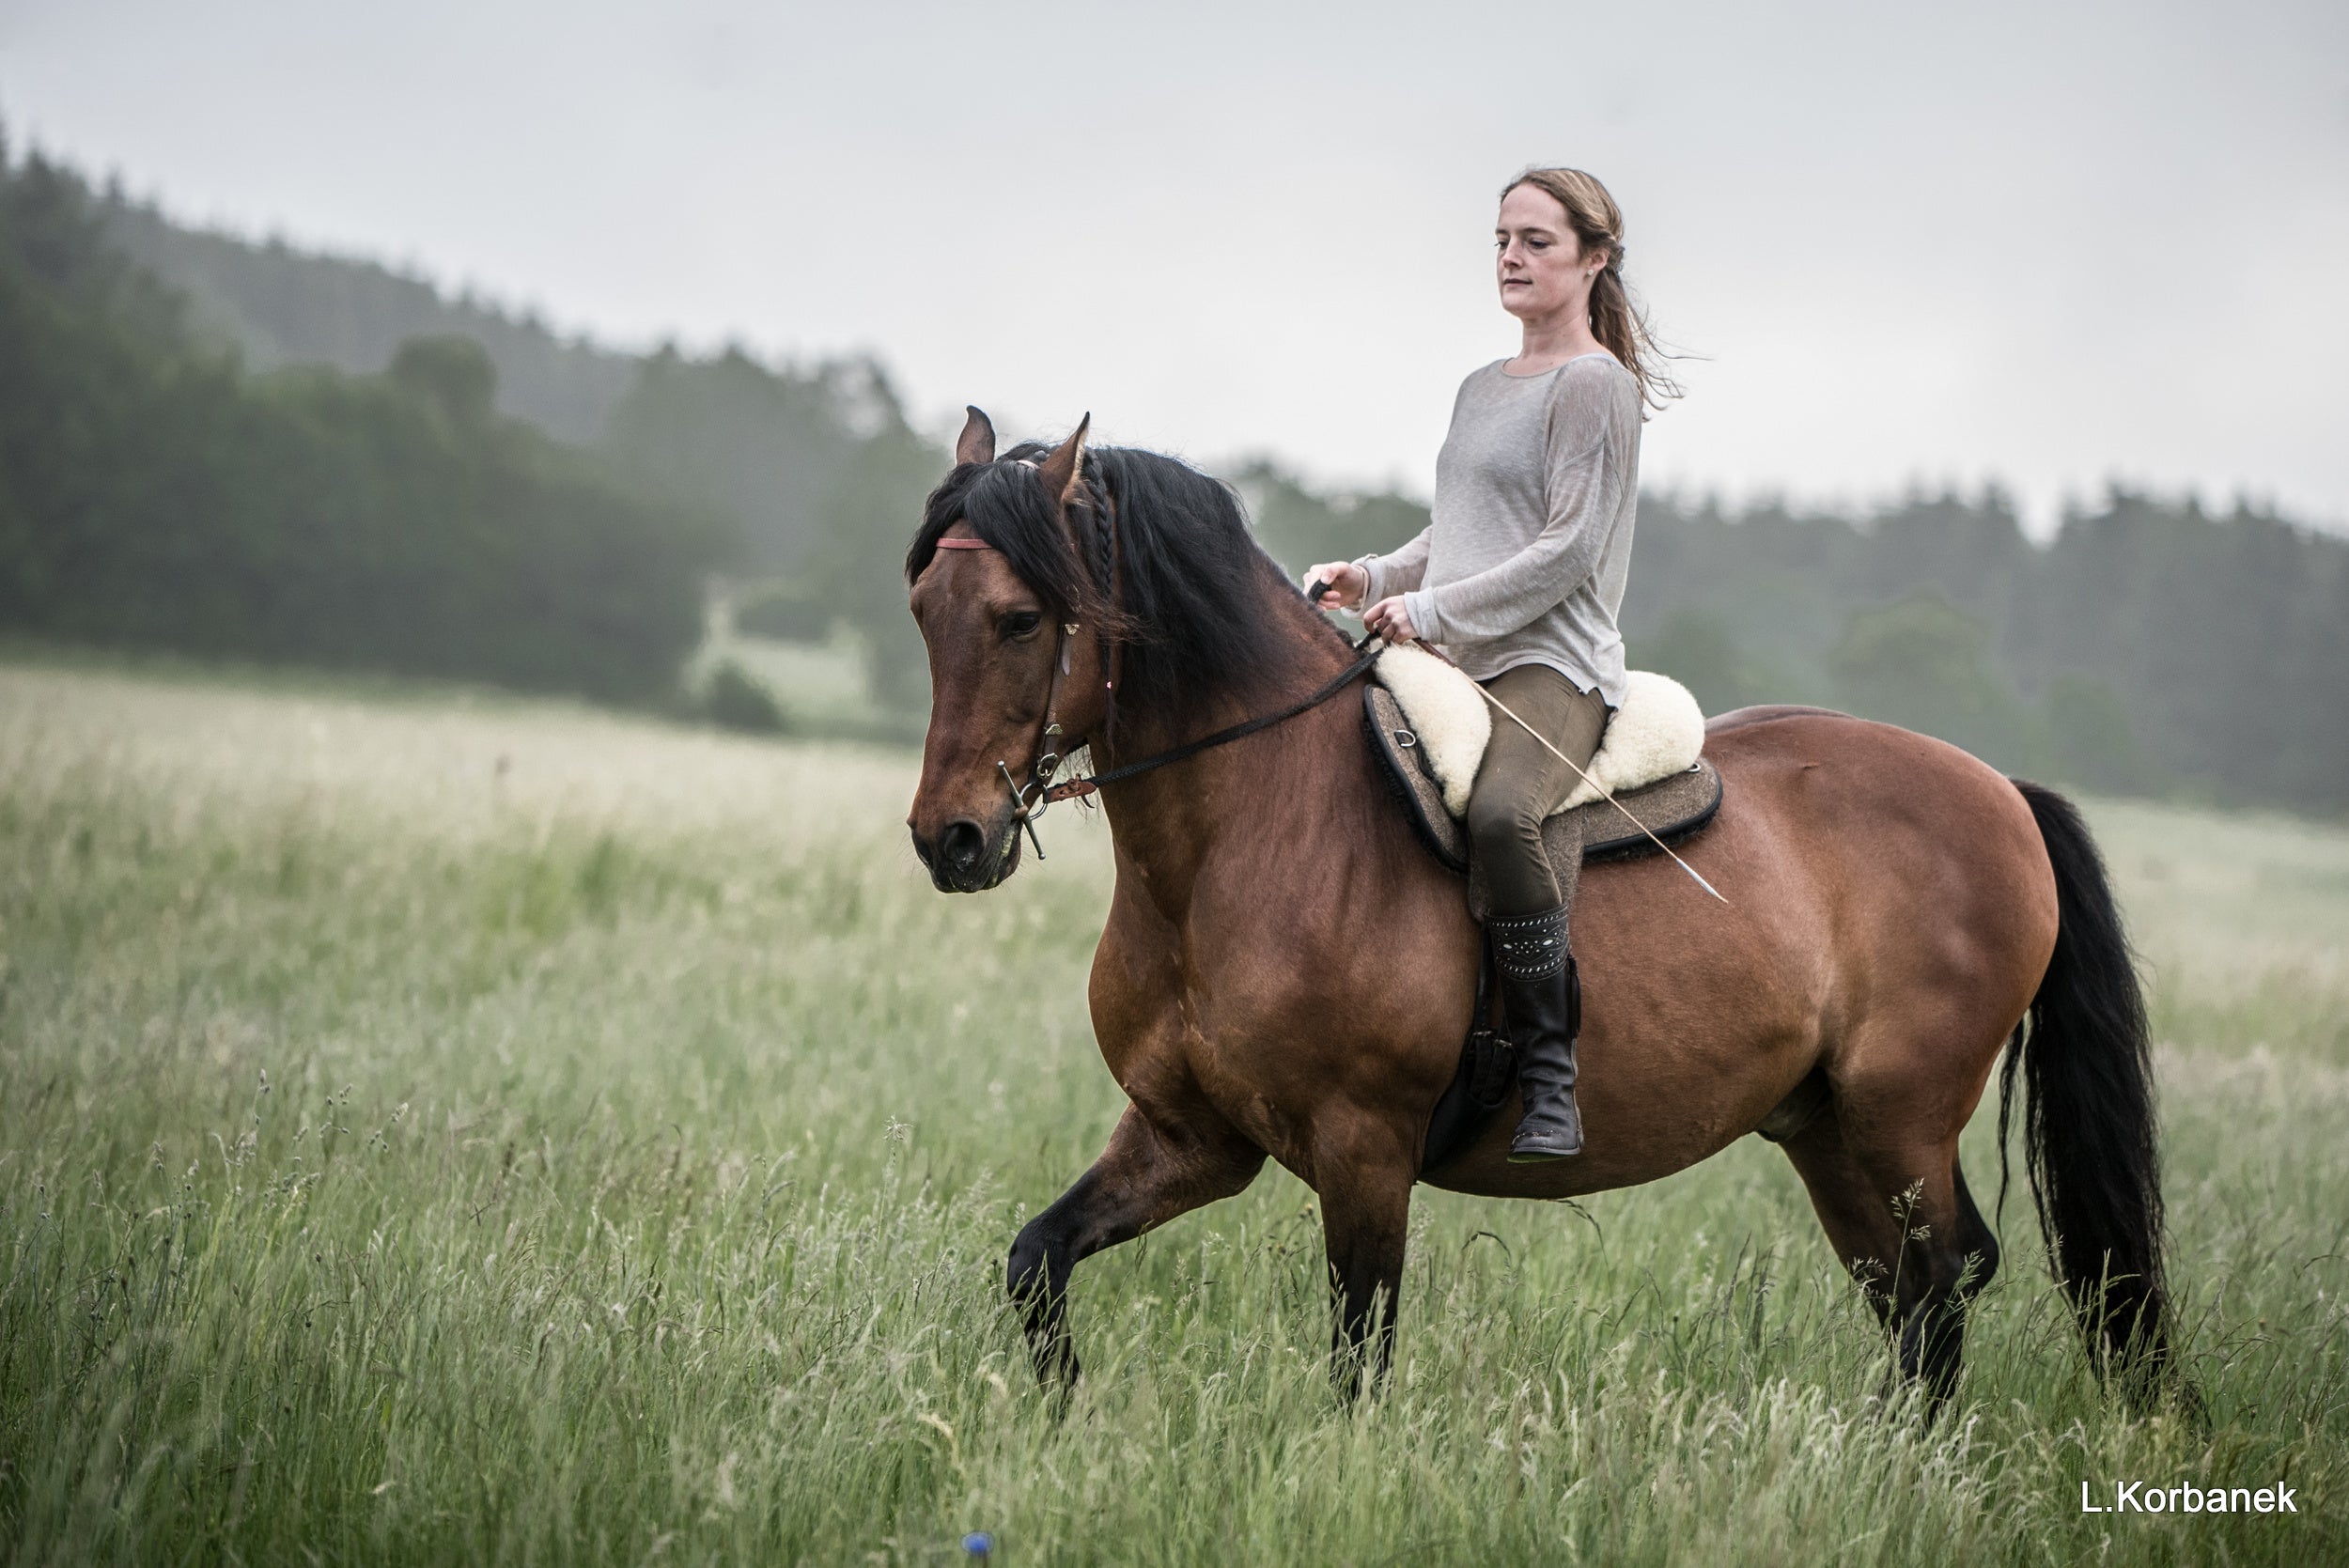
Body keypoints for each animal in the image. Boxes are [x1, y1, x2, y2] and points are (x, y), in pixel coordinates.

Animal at [893, 412, 2161, 1408]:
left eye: (1018, 619)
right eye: (921, 608)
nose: (949, 839)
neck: (1247, 834)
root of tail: (2001, 791)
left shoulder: (1364, 1153)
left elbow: (1358, 1360)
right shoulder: (1189, 1137)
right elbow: (1036, 1260)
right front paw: (1063, 1413)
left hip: (1900, 1121)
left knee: (1942, 1284)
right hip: (1828, 1132)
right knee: (1908, 1297)